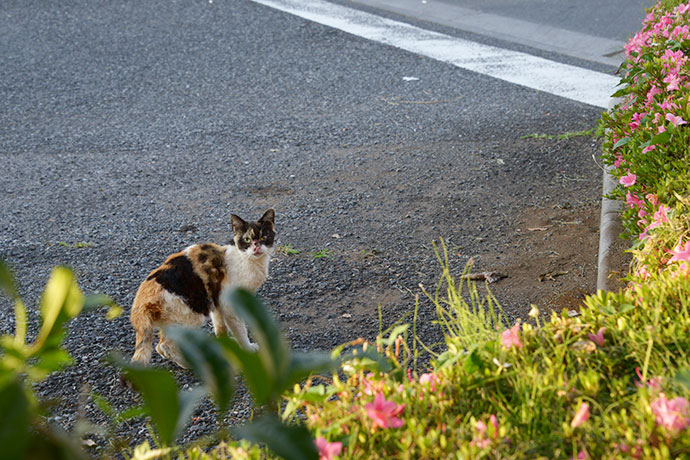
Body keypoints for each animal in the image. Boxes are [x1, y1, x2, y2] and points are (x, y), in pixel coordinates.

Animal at [127, 210, 272, 368]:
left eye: (264, 237)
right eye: (246, 240)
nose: (257, 247)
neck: (247, 260)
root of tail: (141, 302)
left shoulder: (216, 301)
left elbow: (220, 325)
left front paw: (226, 343)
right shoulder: (230, 304)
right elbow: (240, 330)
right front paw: (248, 348)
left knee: (160, 347)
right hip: (190, 316)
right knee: (164, 345)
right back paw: (190, 363)